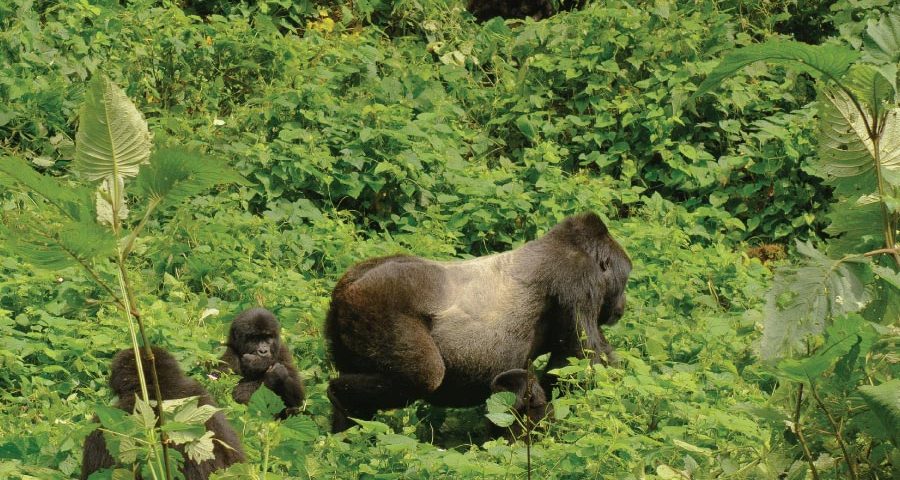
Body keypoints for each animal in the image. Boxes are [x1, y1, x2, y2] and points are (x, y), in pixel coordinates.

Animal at [325, 211, 631, 432]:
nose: (622, 307)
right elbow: (584, 361)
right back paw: (340, 395)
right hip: (376, 304)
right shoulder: (578, 280)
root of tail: (348, 284)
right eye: (625, 280)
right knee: (425, 375)